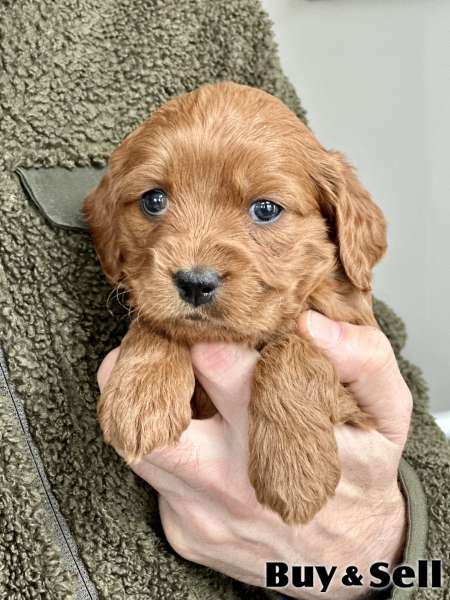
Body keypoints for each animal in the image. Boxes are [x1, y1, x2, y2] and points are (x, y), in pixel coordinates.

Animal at [84, 82, 386, 524]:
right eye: (153, 200)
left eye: (265, 209)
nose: (195, 283)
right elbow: (156, 321)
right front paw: (141, 394)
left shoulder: (359, 404)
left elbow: (291, 346)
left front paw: (295, 470)